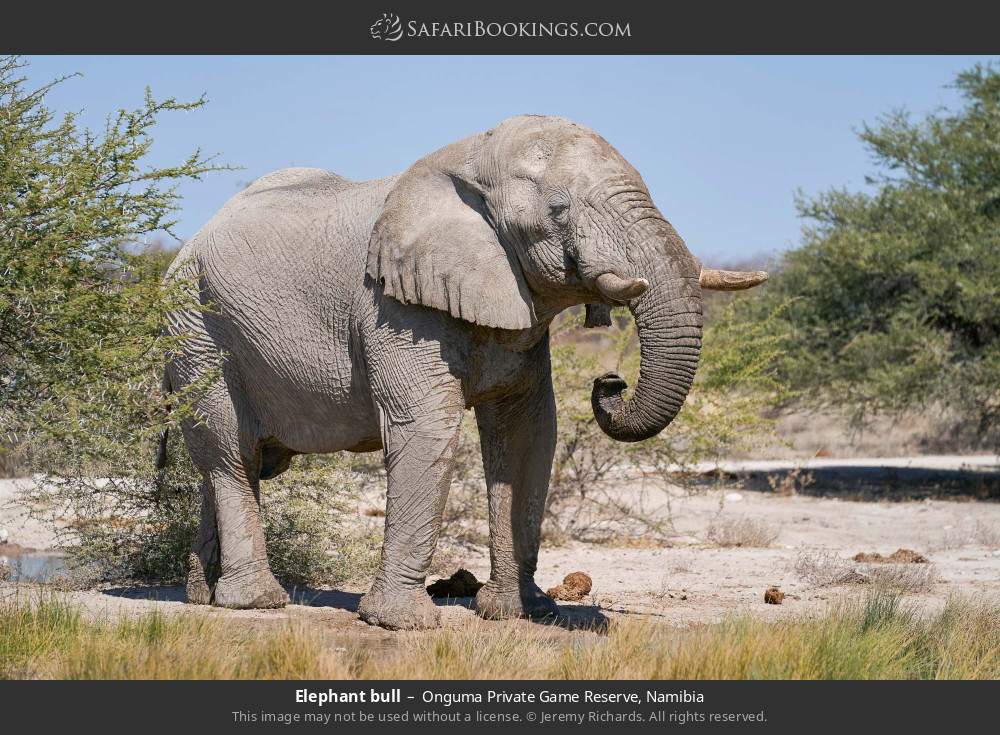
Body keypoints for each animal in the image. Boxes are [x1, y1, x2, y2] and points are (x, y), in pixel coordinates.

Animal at [158, 116, 764, 632]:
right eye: (559, 209)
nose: (609, 383)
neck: (470, 157)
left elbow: (527, 433)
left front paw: (523, 612)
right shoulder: (394, 304)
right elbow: (427, 426)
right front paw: (402, 623)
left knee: (237, 461)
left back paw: (201, 597)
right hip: (196, 331)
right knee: (230, 451)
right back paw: (255, 602)